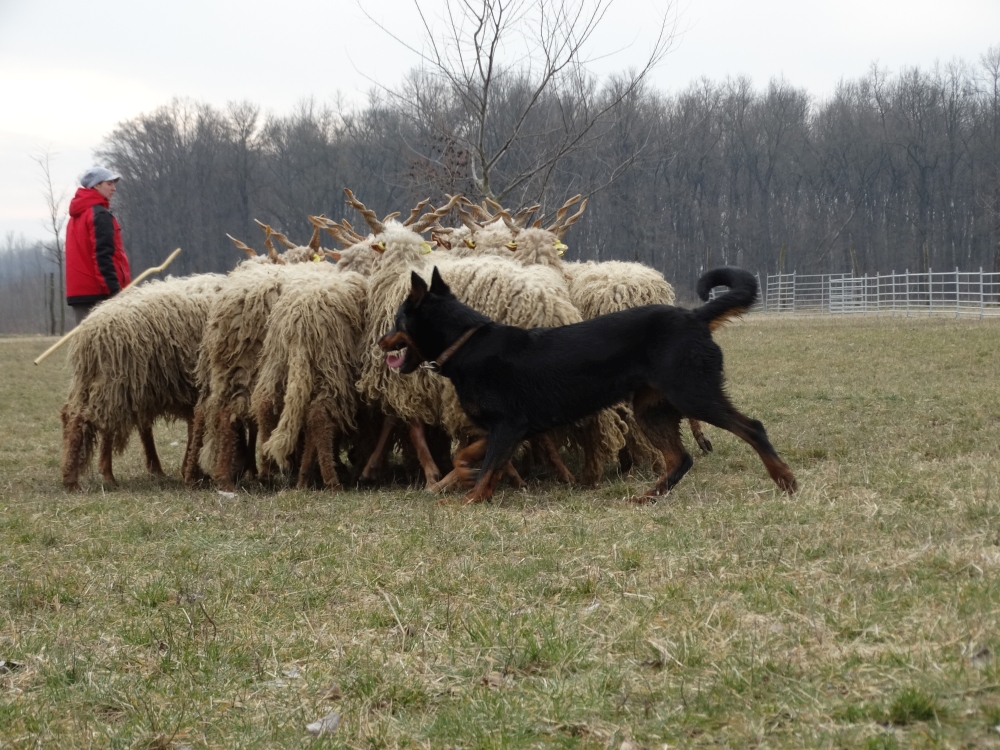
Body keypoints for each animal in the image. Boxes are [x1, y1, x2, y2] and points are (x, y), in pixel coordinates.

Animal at [378, 266, 800, 506]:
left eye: (398, 319)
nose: (381, 341)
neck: (467, 342)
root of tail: (695, 316)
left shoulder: (509, 426)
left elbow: (487, 470)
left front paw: (468, 500)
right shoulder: (509, 430)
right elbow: (469, 458)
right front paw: (461, 477)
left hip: (694, 394)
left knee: (752, 428)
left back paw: (785, 480)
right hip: (651, 409)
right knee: (680, 459)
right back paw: (647, 497)